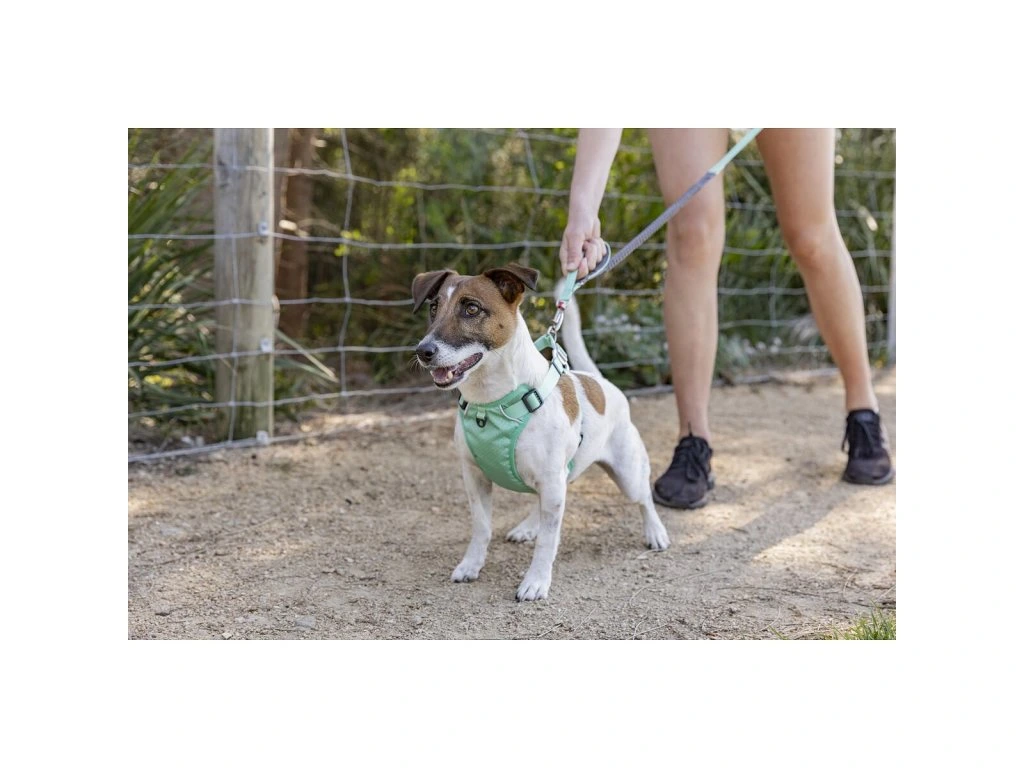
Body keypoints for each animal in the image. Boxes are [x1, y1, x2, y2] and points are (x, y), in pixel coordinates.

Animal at [411, 262, 670, 601]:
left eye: (471, 308)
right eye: (433, 307)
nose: (423, 351)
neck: (491, 403)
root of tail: (601, 382)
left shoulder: (550, 481)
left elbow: (547, 543)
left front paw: (535, 581)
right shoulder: (475, 478)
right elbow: (482, 528)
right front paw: (471, 565)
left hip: (626, 473)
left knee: (644, 498)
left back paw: (656, 532)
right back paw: (528, 527)